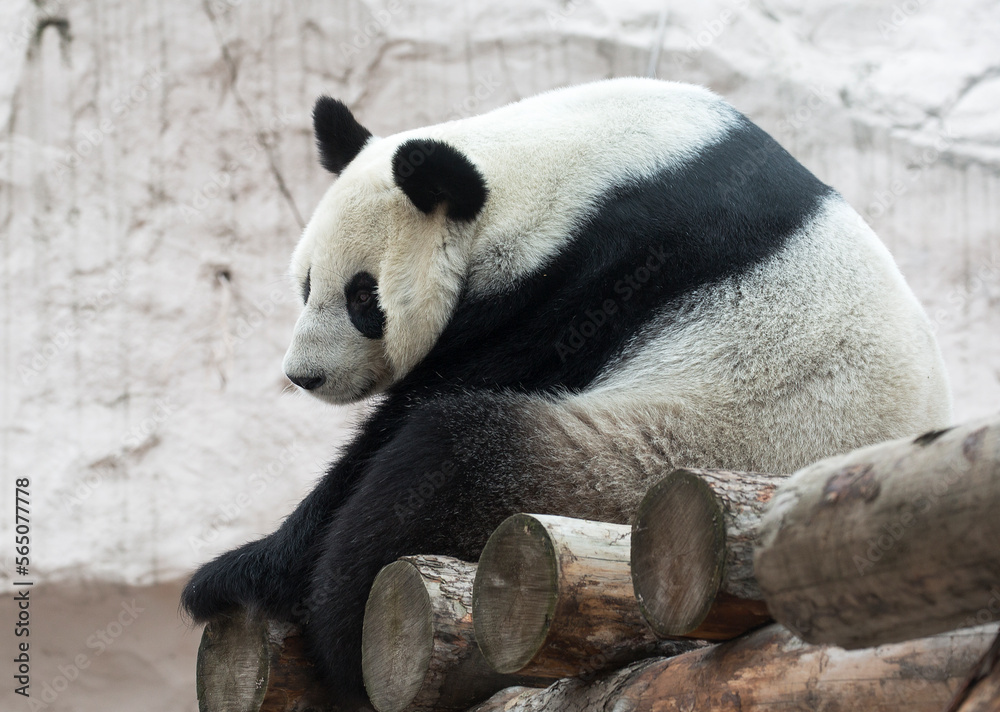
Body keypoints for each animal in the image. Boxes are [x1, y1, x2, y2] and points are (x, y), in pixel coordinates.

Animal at [182, 78, 951, 705]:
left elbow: (414, 416)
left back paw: (343, 641)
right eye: (305, 283)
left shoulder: (594, 275)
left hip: (634, 470)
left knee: (447, 463)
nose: (304, 375)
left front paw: (237, 572)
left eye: (363, 297)